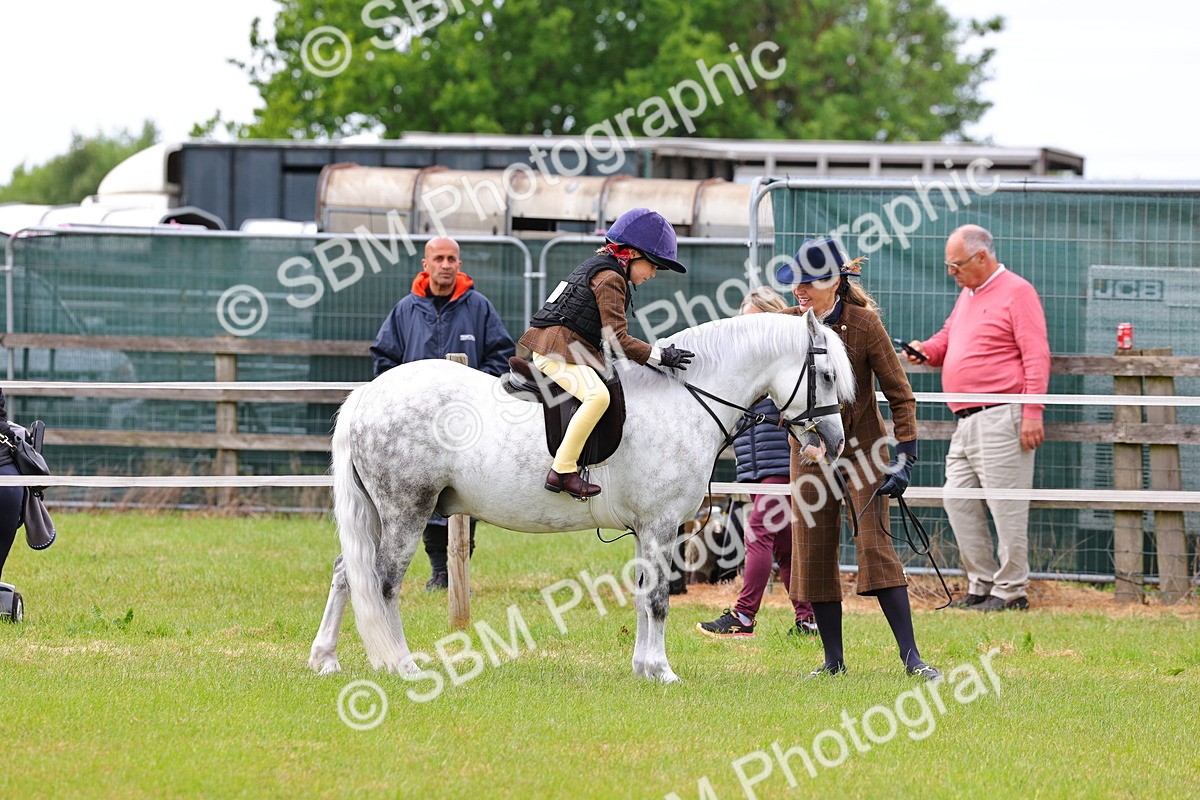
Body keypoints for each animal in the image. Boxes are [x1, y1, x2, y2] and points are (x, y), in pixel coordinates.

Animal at [308, 309, 855, 682]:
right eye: (827, 375)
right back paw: (402, 665)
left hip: (377, 513)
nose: (833, 442)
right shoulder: (661, 526)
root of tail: (368, 394)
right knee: (382, 583)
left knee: (347, 573)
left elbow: (643, 597)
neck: (684, 399)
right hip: (406, 511)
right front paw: (663, 671)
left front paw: (642, 667)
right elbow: (659, 599)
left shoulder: (647, 530)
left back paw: (325, 659)